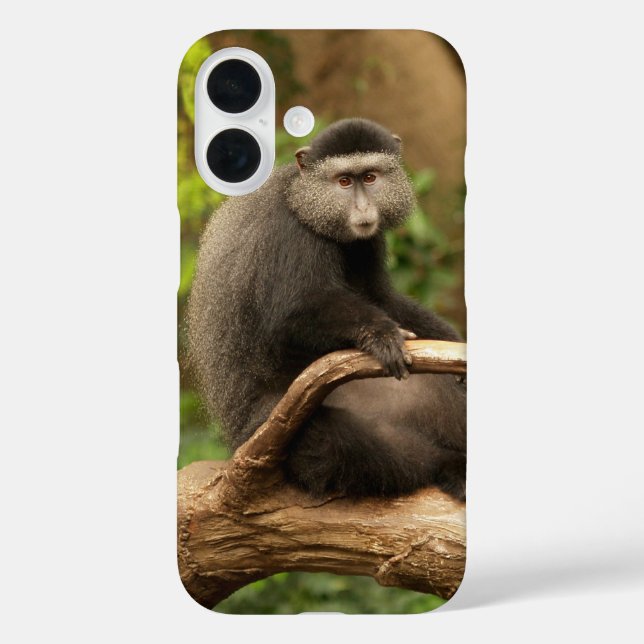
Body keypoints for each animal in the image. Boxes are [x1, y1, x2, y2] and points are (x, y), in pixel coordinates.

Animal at [187, 118, 466, 501]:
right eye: (344, 181)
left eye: (370, 177)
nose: (363, 209)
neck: (303, 200)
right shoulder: (291, 234)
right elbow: (291, 317)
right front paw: (378, 334)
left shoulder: (367, 242)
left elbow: (381, 297)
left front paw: (451, 342)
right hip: (273, 427)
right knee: (340, 443)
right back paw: (447, 465)